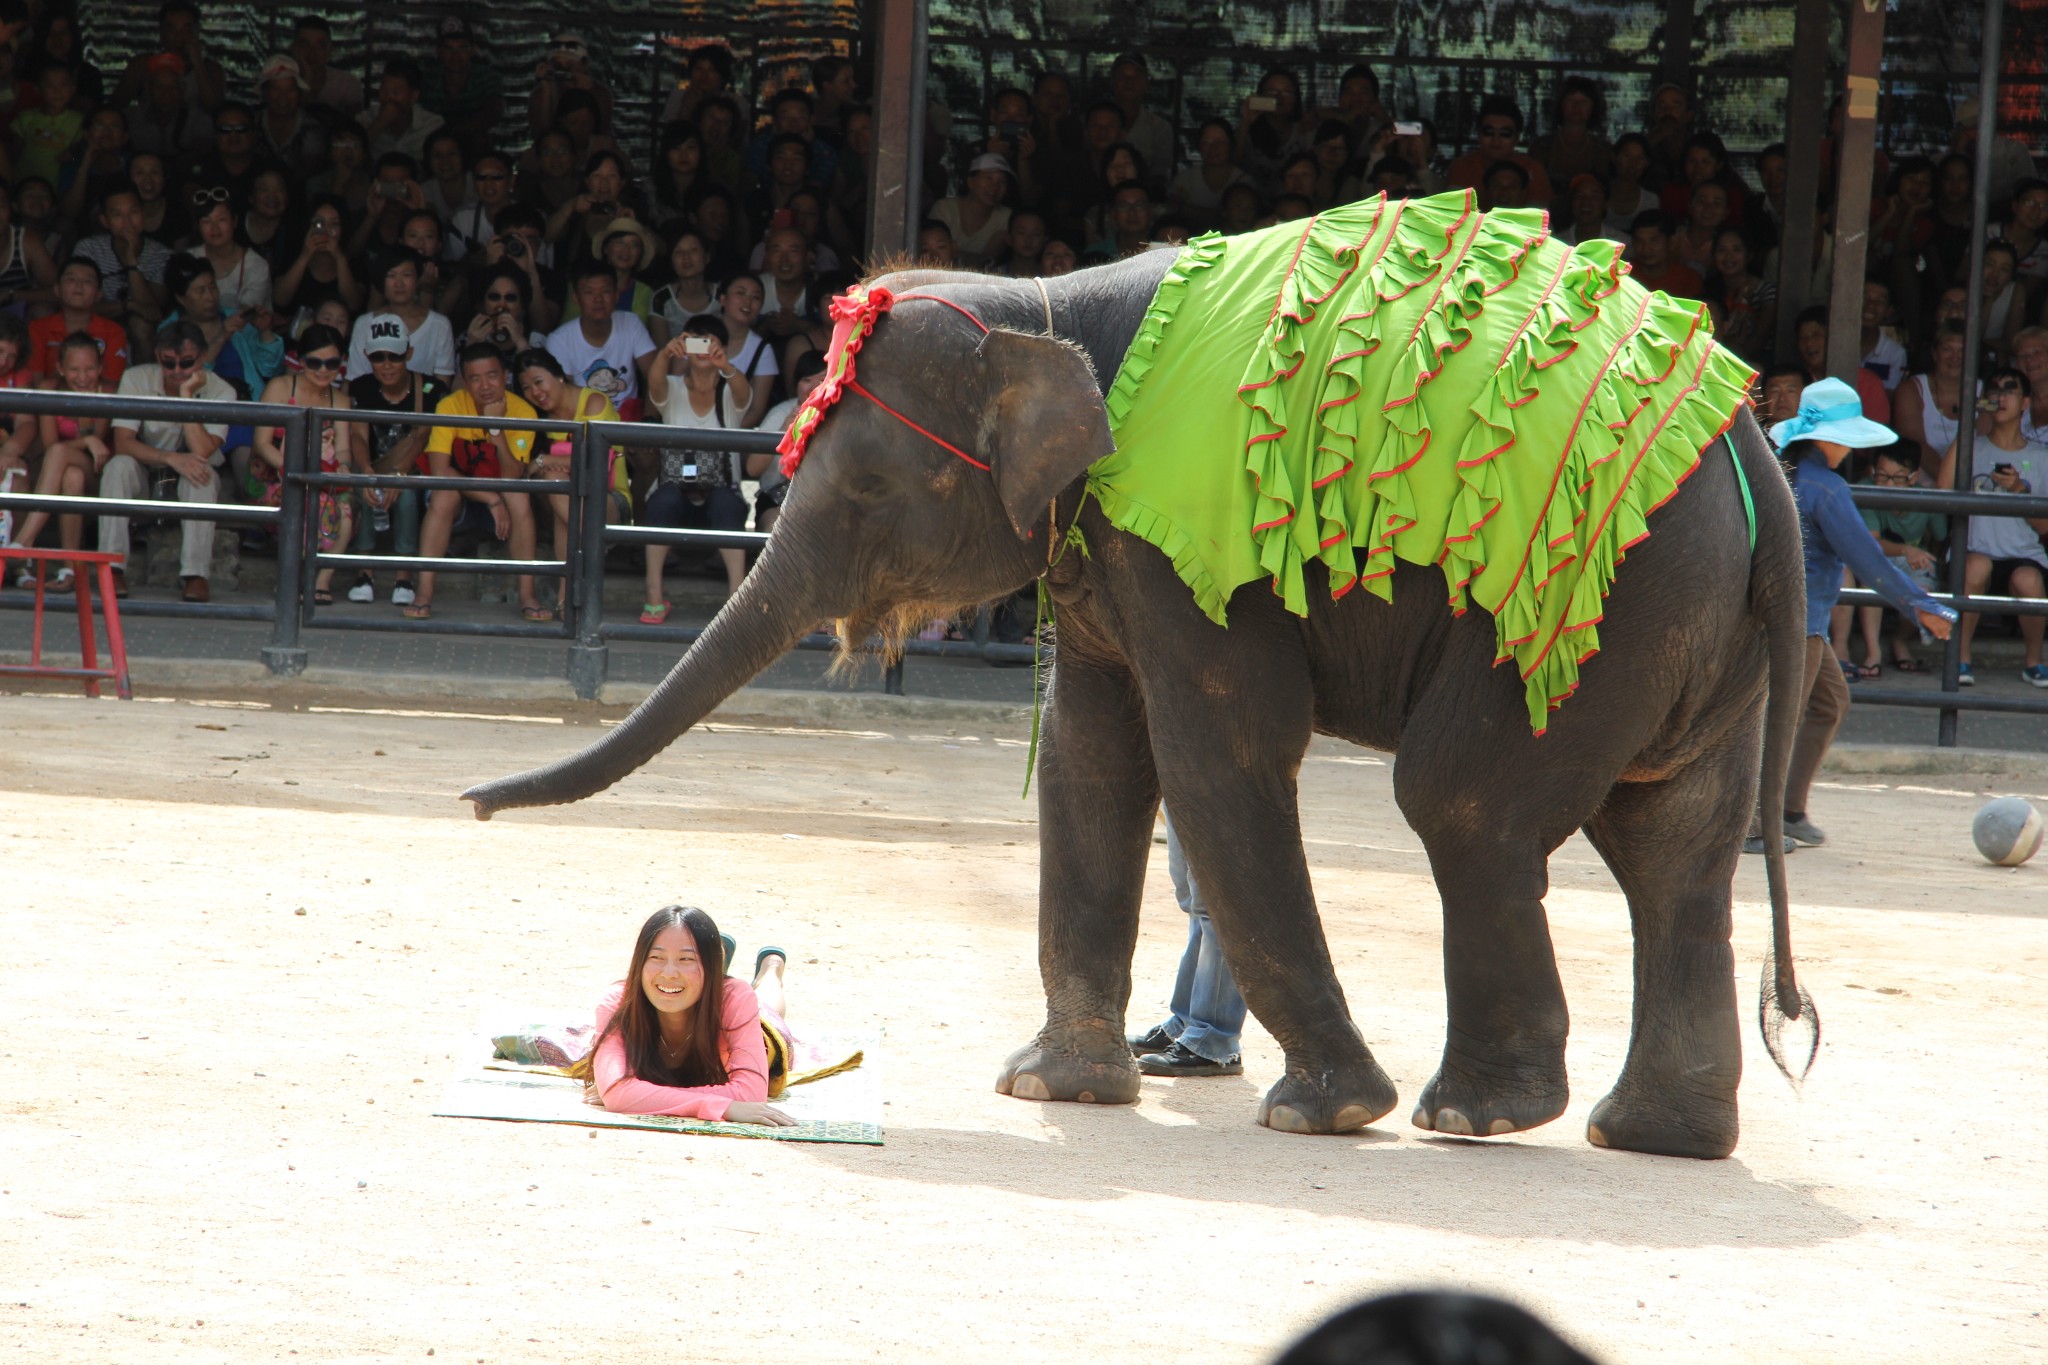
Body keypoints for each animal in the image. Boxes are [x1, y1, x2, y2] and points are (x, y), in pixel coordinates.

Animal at [464, 232, 1810, 1162]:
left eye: (859, 496)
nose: (471, 803)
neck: (1045, 301)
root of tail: (1747, 435)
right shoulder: (1103, 549)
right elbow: (1090, 758)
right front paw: (1047, 1090)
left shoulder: (1193, 549)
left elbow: (1218, 754)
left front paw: (1325, 1114)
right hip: (1678, 630)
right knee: (1671, 849)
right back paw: (1652, 1137)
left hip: (1596, 605)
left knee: (1461, 804)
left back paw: (1476, 1115)